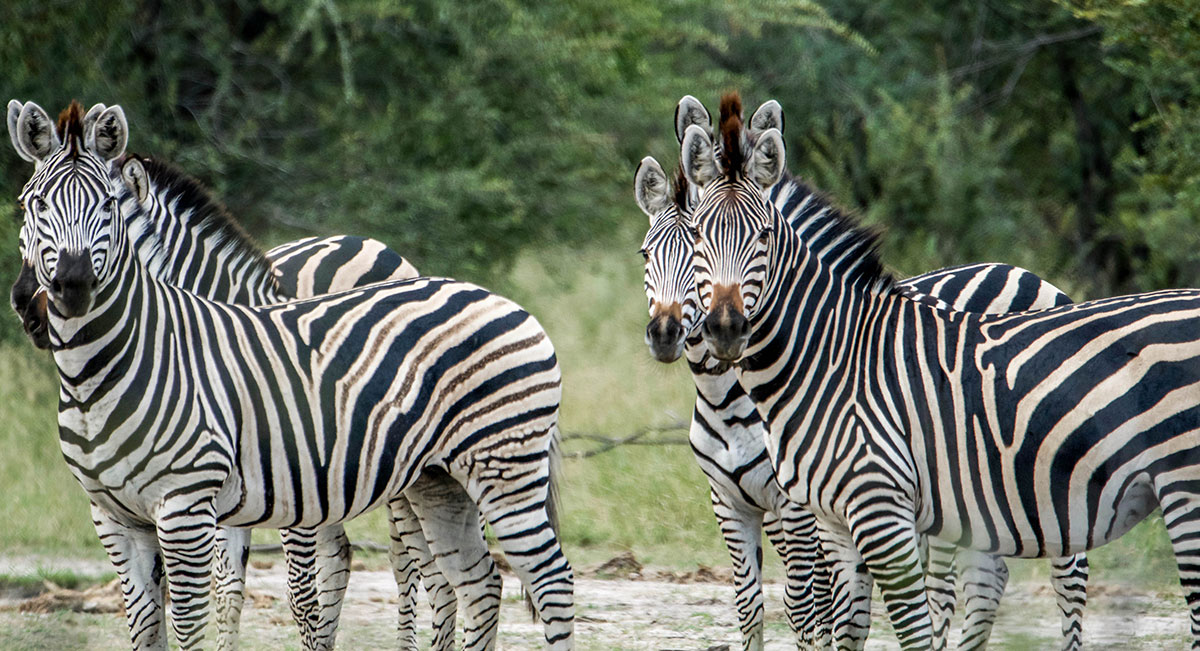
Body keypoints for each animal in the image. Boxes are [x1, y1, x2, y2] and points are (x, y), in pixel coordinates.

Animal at [9, 101, 573, 649]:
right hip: (436, 477)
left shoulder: (243, 496)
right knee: (475, 581)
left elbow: (293, 597)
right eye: (30, 205)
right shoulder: (137, 512)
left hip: (496, 469)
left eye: (108, 207)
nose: (40, 302)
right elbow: (217, 595)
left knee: (532, 579)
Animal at [682, 90, 1200, 648]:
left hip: (1171, 487)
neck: (831, 353)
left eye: (763, 236)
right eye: (696, 237)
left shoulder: (878, 506)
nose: (725, 328)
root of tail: (1035, 279)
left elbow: (908, 627)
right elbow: (846, 626)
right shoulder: (833, 520)